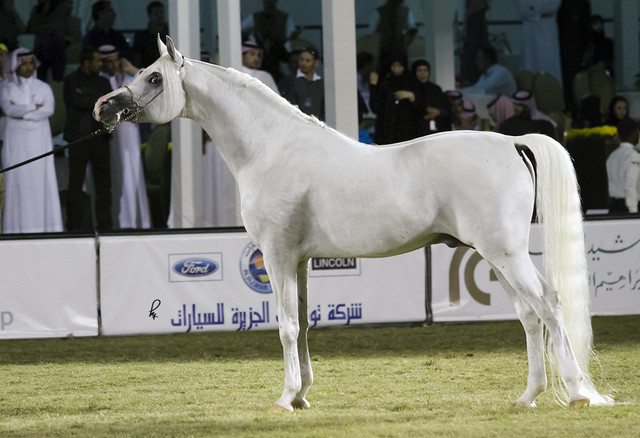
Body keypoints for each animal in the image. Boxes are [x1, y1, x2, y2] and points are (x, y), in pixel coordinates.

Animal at [93, 36, 613, 410]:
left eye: (153, 76)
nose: (103, 108)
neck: (271, 148)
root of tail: (510, 141)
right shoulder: (298, 261)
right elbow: (302, 324)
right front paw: (302, 396)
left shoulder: (277, 256)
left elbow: (285, 326)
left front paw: (285, 398)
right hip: (496, 255)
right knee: (529, 314)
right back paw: (528, 397)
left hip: (506, 253)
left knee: (549, 304)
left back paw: (578, 394)